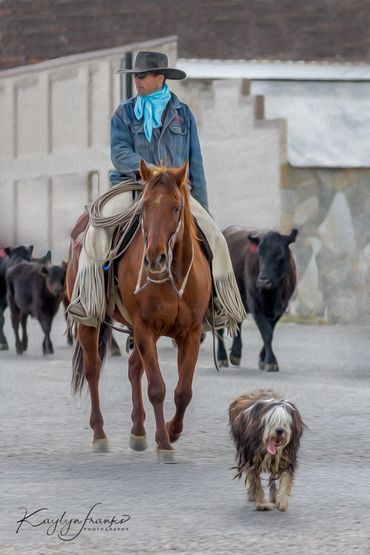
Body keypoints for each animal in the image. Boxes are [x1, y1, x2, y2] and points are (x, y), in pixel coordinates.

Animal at [66, 160, 211, 460]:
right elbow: (156, 388)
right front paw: (164, 443)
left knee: (134, 368)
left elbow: (183, 391)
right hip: (91, 323)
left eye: (176, 208)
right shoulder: (146, 327)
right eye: (144, 208)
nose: (155, 258)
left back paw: (138, 430)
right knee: (93, 370)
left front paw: (172, 431)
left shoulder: (190, 333)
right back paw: (100, 434)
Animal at [217, 226, 298, 374]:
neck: (273, 292)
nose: (263, 280)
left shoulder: (281, 307)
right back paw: (222, 358)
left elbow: (270, 330)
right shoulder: (255, 304)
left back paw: (235, 354)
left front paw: (263, 358)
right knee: (219, 328)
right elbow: (266, 333)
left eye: (280, 254)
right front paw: (271, 362)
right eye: (259, 254)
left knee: (238, 322)